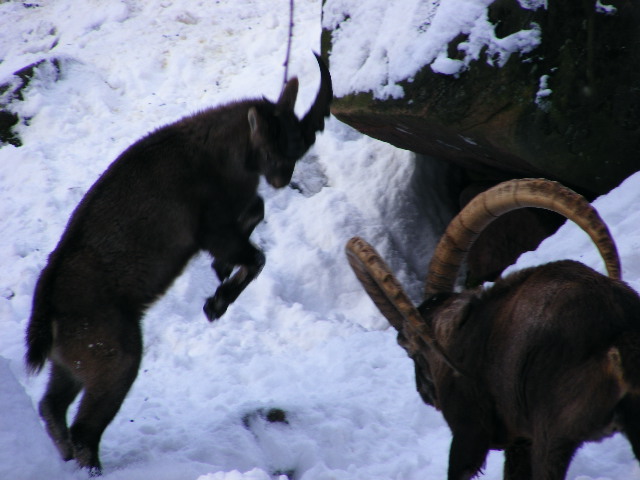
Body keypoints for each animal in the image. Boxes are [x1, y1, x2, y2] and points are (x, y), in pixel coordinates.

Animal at [25, 53, 332, 475]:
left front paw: (220, 272)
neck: (216, 154)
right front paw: (215, 304)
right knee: (84, 428)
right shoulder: (211, 226)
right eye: (273, 150)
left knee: (52, 406)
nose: (282, 180)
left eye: (299, 148)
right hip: (113, 355)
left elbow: (256, 212)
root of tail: (48, 306)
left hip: (70, 361)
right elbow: (256, 255)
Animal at [346, 178, 640, 480]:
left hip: (553, 432)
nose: (426, 394)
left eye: (410, 350)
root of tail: (617, 333)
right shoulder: (520, 441)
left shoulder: (470, 432)